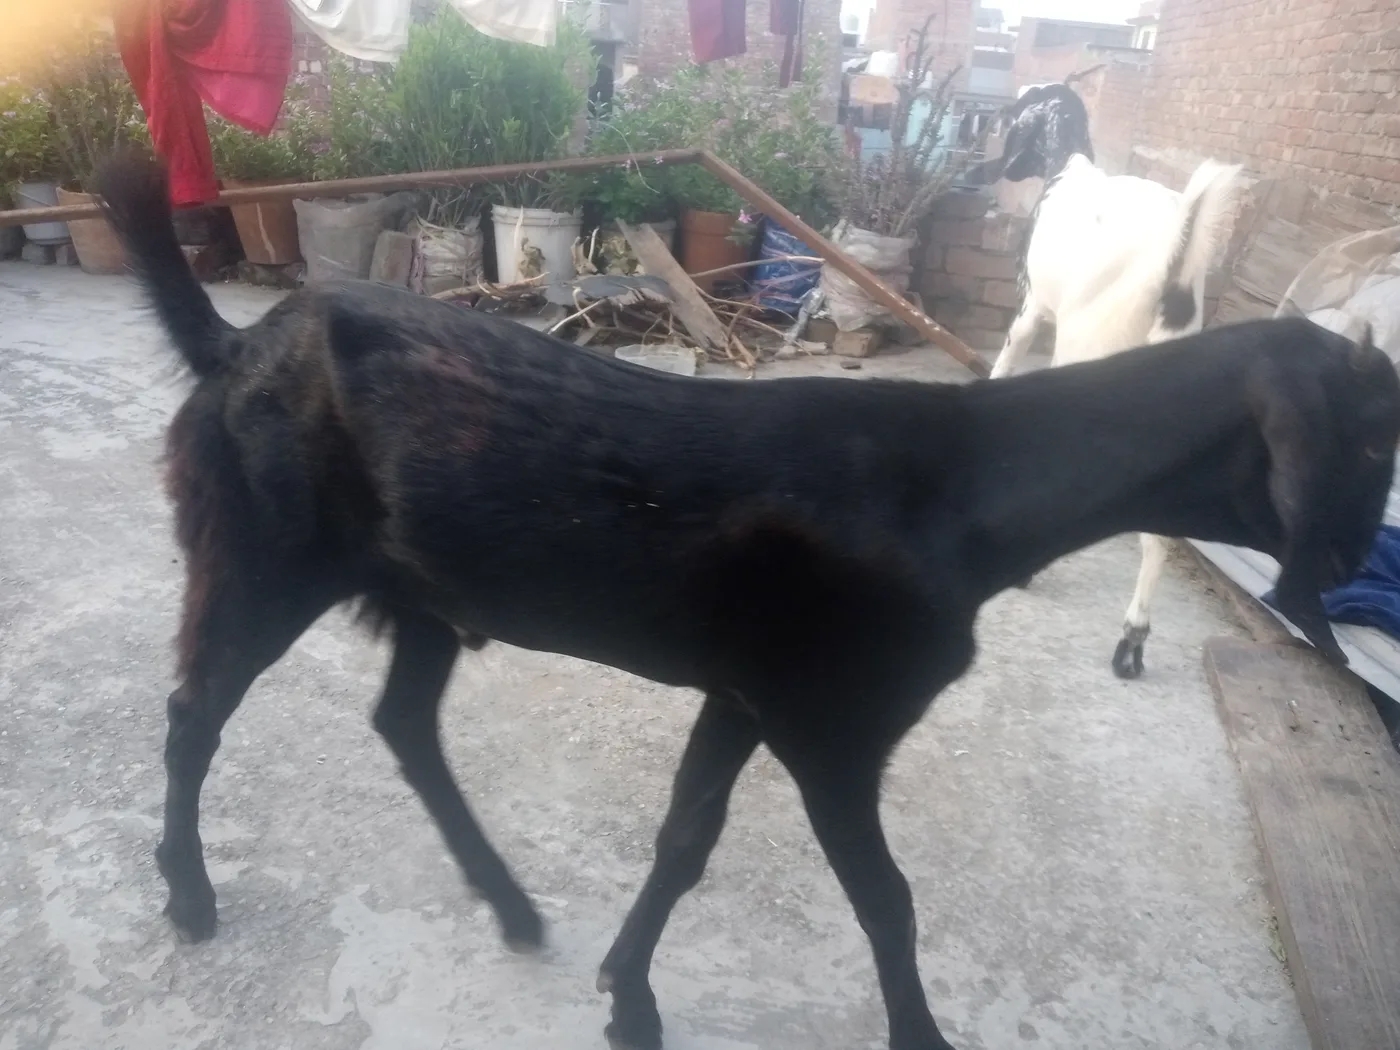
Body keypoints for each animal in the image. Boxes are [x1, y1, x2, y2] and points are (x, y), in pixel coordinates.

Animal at [95, 153, 1396, 1050]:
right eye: (1373, 433)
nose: (1343, 567)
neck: (962, 485)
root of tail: (235, 345)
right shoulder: (833, 723)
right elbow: (885, 900)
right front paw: (916, 1034)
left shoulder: (743, 692)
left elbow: (684, 842)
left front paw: (626, 997)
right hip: (262, 556)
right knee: (194, 711)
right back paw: (190, 892)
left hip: (418, 586)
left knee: (403, 724)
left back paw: (507, 901)